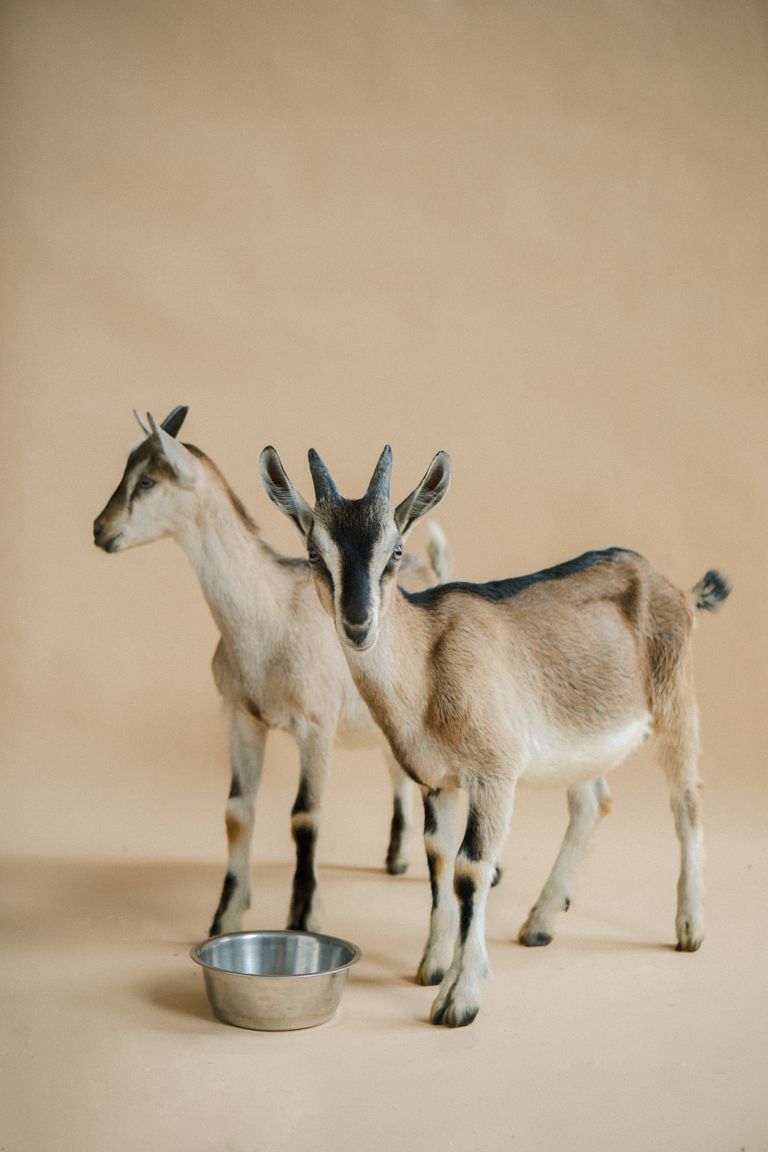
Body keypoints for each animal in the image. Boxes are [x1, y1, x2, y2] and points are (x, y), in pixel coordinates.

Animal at [93, 410, 451, 937]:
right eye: (126, 469)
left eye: (149, 480)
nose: (101, 529)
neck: (268, 618)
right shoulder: (241, 716)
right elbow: (237, 811)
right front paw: (224, 915)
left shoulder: (315, 727)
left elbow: (305, 816)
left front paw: (302, 918)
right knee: (398, 771)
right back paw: (396, 860)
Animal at [260, 443, 731, 1027]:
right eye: (312, 551)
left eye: (395, 551)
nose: (358, 622)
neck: (427, 665)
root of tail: (677, 589)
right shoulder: (435, 780)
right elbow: (438, 859)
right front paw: (433, 965)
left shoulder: (494, 773)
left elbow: (469, 870)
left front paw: (458, 999)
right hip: (582, 740)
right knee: (594, 802)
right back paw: (541, 922)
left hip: (675, 703)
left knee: (687, 801)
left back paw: (689, 927)